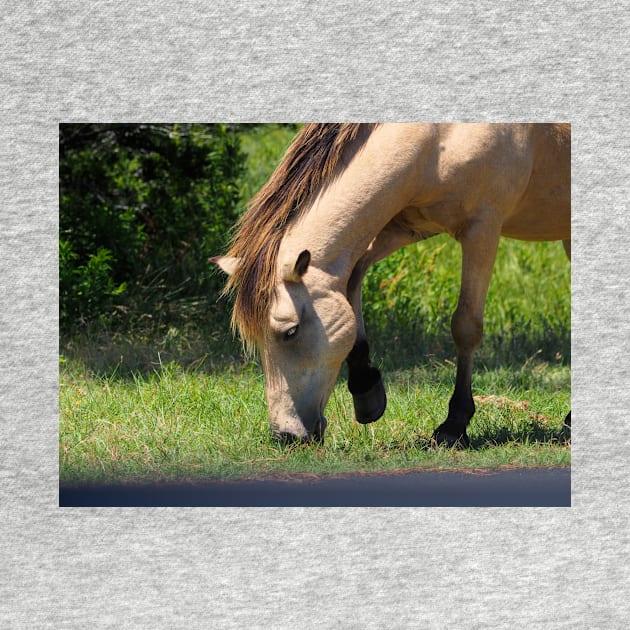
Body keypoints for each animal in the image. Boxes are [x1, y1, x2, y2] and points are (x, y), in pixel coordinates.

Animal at [214, 124, 572, 450]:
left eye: (290, 332)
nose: (285, 436)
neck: (439, 140)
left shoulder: (482, 229)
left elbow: (466, 326)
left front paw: (453, 426)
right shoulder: (404, 226)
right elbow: (353, 277)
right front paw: (366, 389)